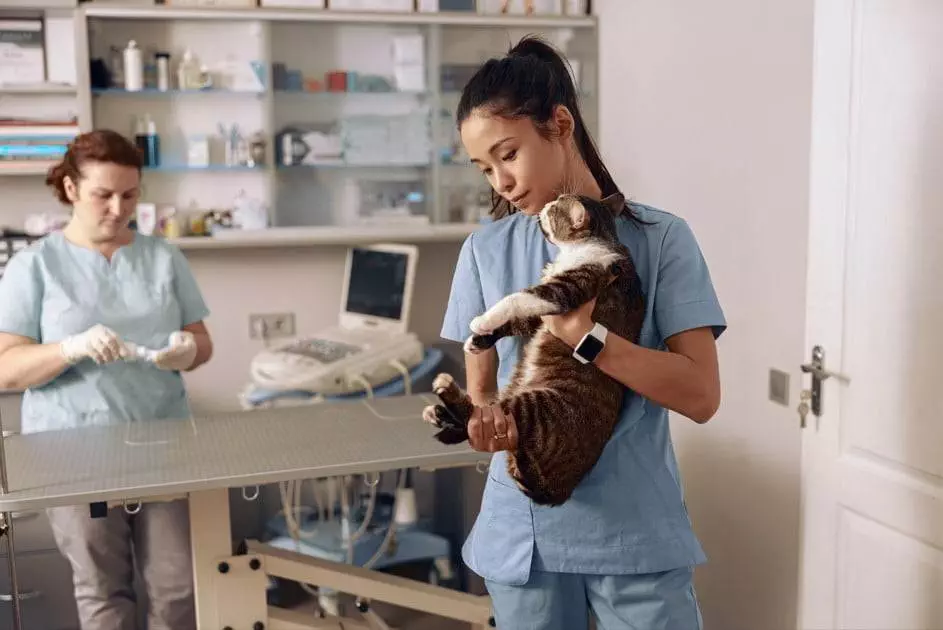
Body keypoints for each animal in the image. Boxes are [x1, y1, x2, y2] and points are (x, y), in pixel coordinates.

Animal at [424, 194, 644, 508]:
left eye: (555, 208)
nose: (546, 205)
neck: (596, 242)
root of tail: (557, 490)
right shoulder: (542, 313)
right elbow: (515, 321)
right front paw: (479, 340)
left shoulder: (562, 292)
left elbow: (513, 299)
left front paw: (481, 321)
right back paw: (439, 413)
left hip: (537, 407)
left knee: (479, 414)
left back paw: (444, 394)